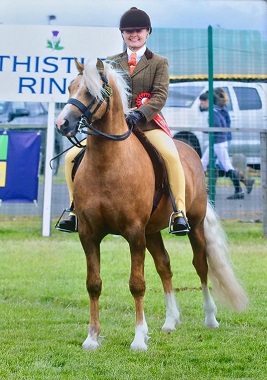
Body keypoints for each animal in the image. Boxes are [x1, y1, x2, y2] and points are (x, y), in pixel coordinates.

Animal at [56, 58, 249, 352]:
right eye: (70, 87)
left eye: (90, 91)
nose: (62, 123)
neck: (107, 164)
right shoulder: (89, 234)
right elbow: (94, 283)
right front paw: (92, 337)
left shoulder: (135, 234)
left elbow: (137, 284)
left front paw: (138, 338)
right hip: (153, 232)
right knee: (164, 266)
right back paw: (170, 321)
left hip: (194, 225)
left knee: (200, 265)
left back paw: (210, 318)